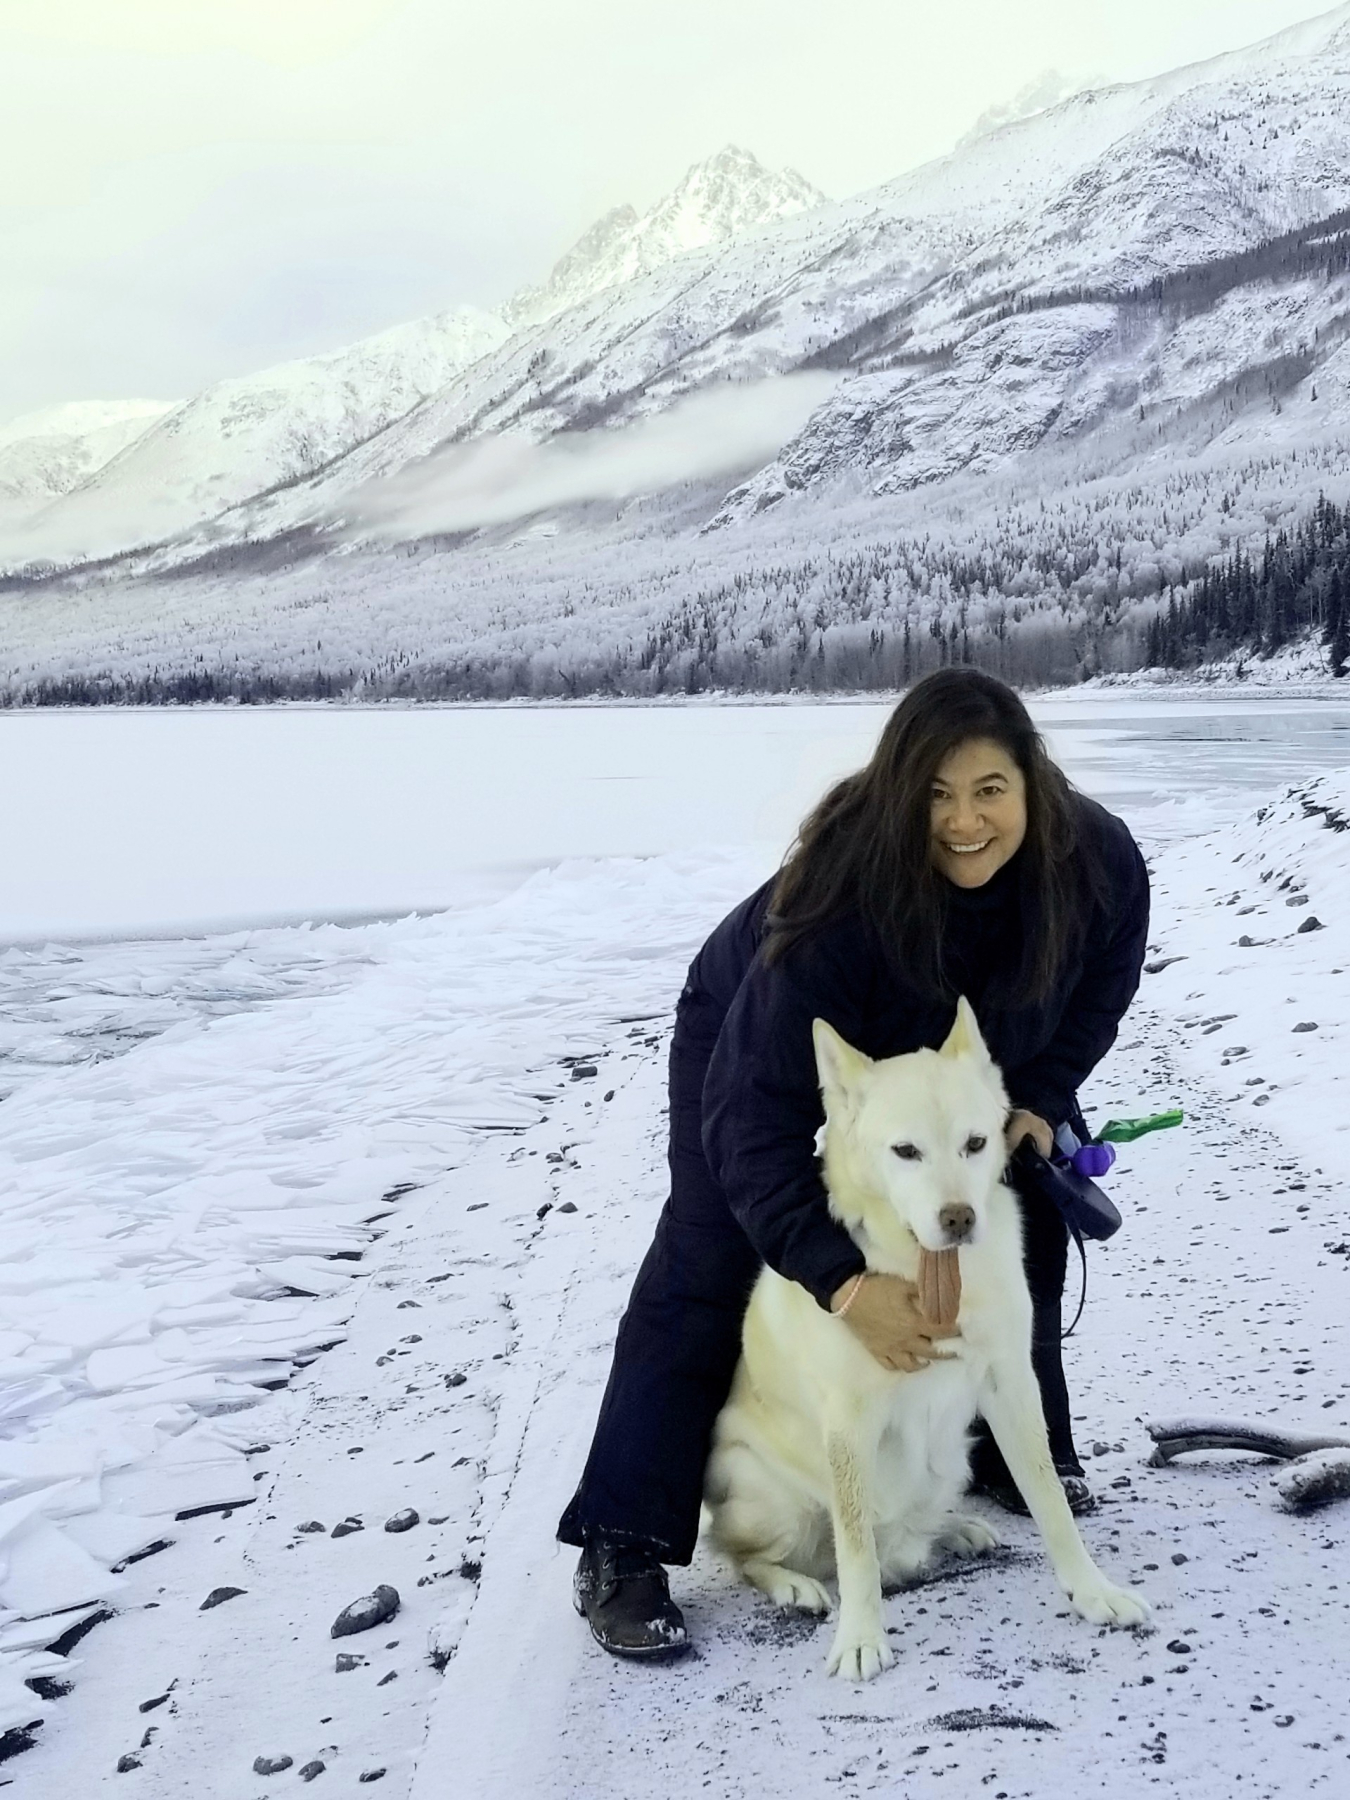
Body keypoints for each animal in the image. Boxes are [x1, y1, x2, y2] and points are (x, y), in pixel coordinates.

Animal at [702, 1008, 1159, 1677]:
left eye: (975, 1143)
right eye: (906, 1151)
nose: (959, 1218)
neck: (931, 1280)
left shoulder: (1010, 1385)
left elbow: (1050, 1500)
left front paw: (1092, 1591)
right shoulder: (848, 1426)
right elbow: (855, 1546)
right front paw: (860, 1638)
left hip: (953, 1457)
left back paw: (957, 1529)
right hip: (771, 1499)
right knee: (753, 1554)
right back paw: (795, 1585)